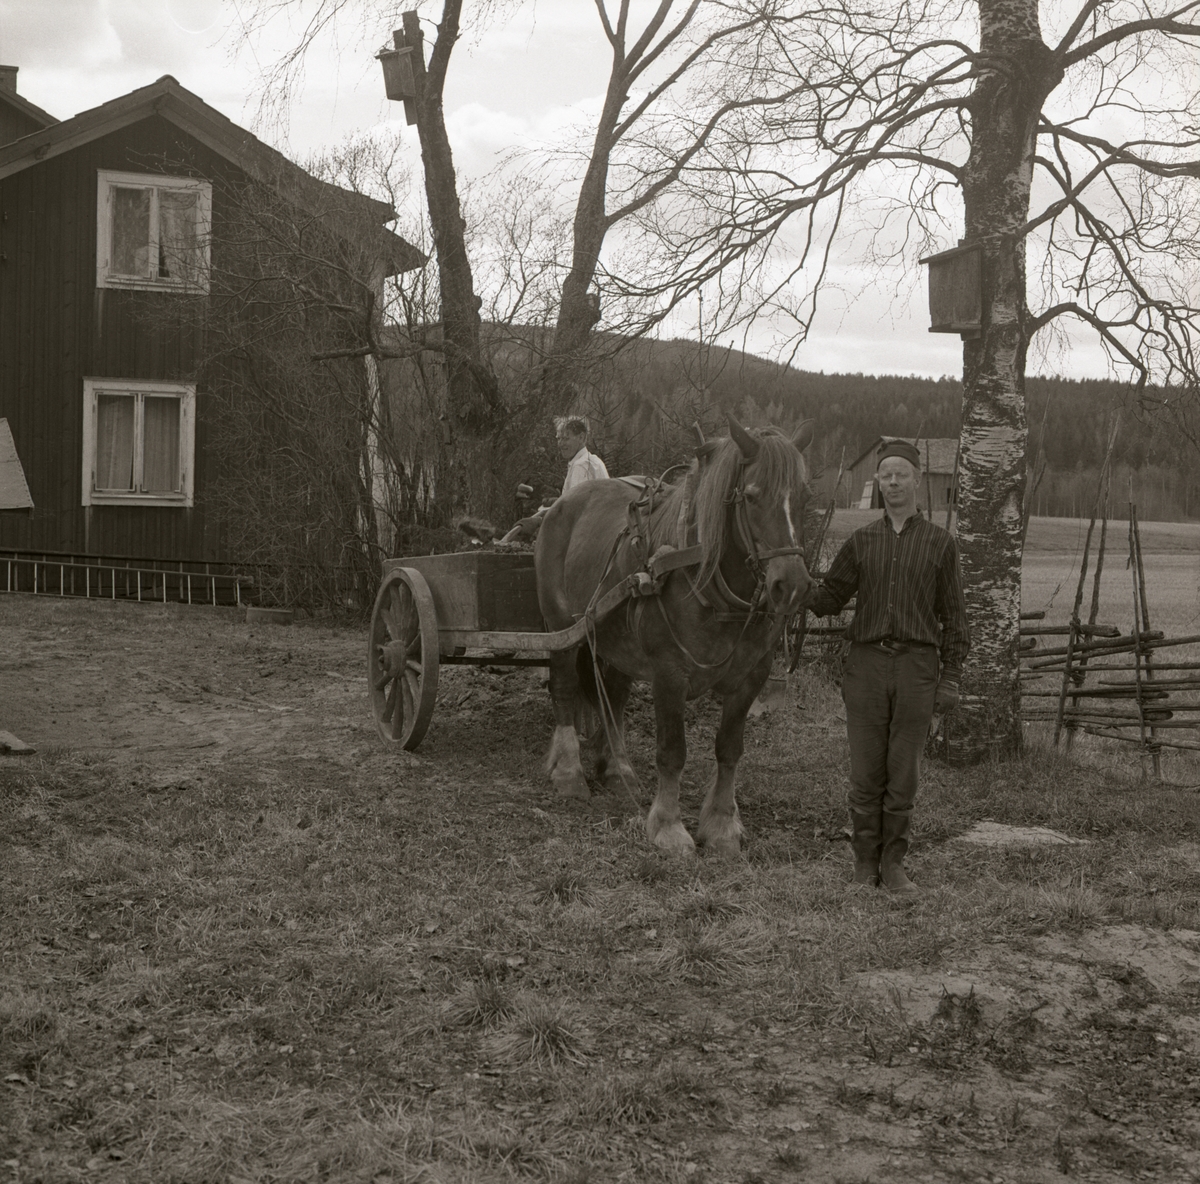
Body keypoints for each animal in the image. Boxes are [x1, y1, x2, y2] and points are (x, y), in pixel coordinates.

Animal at [537, 417, 816, 854]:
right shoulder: (670, 673)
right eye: (752, 497)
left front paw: (722, 823)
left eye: (803, 497)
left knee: (613, 697)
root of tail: (560, 505)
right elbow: (672, 752)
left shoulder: (751, 678)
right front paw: (668, 826)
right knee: (565, 690)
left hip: (617, 642)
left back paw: (618, 769)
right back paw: (568, 772)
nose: (792, 586)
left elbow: (729, 748)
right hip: (561, 627)